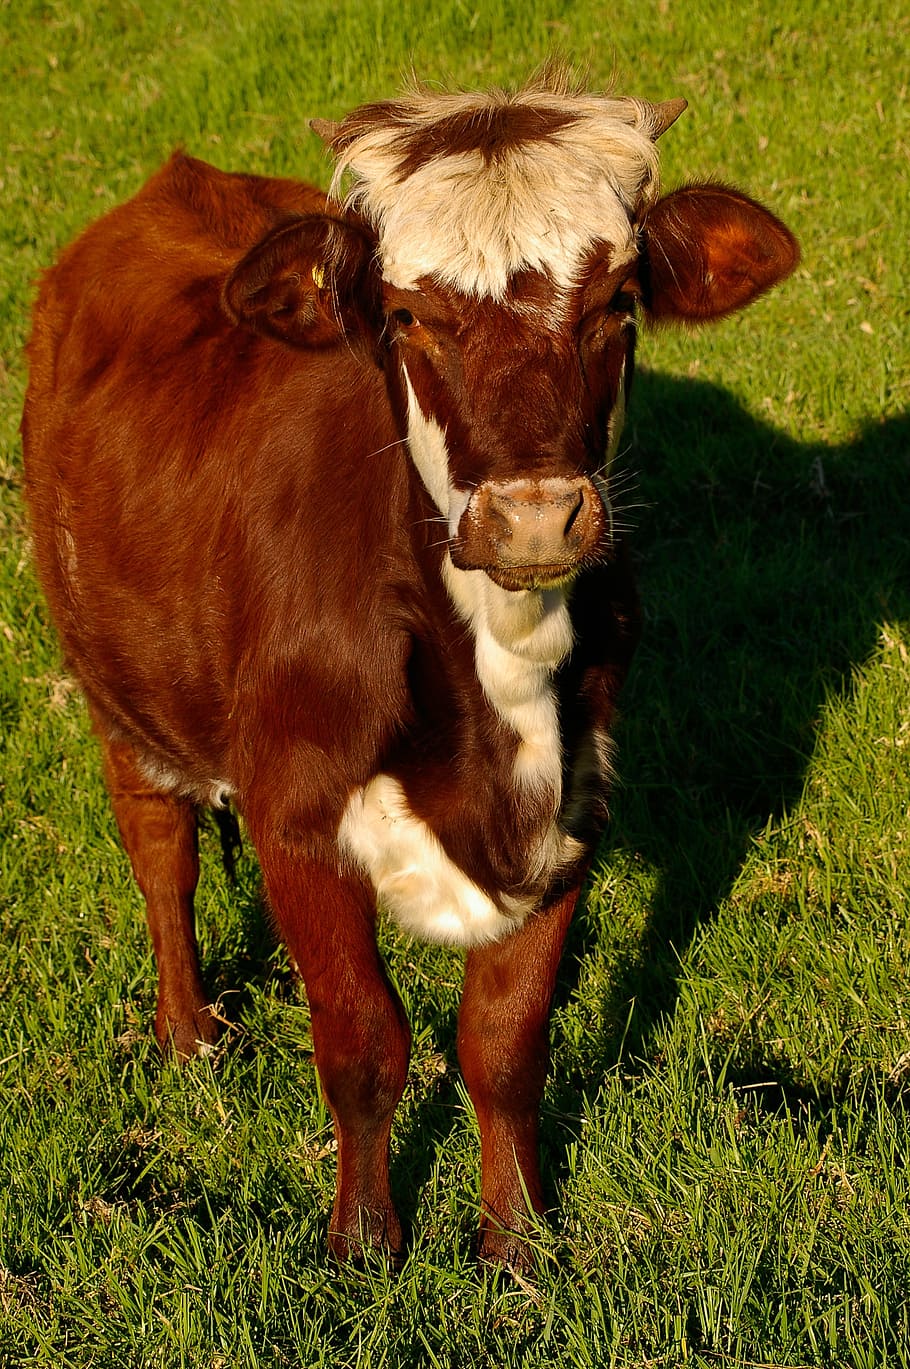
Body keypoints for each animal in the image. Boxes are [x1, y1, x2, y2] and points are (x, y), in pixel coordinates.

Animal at [21, 69, 798, 1269]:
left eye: (618, 301)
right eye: (404, 315)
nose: (535, 516)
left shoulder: (573, 809)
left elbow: (504, 1042)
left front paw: (516, 1243)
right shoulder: (295, 817)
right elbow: (361, 1041)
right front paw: (362, 1243)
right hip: (116, 689)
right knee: (161, 855)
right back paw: (188, 1033)